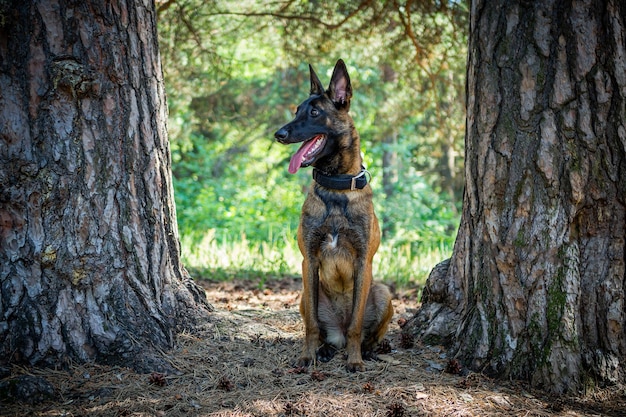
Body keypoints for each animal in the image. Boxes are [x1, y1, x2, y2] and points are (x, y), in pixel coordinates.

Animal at [272, 59, 390, 370]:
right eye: (296, 111)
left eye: (314, 112)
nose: (279, 135)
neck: (335, 189)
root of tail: (337, 332)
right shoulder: (309, 262)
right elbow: (312, 325)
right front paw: (307, 355)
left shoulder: (363, 262)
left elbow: (357, 325)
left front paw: (355, 360)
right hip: (304, 294)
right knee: (322, 328)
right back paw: (325, 349)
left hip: (383, 292)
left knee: (366, 332)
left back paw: (368, 350)